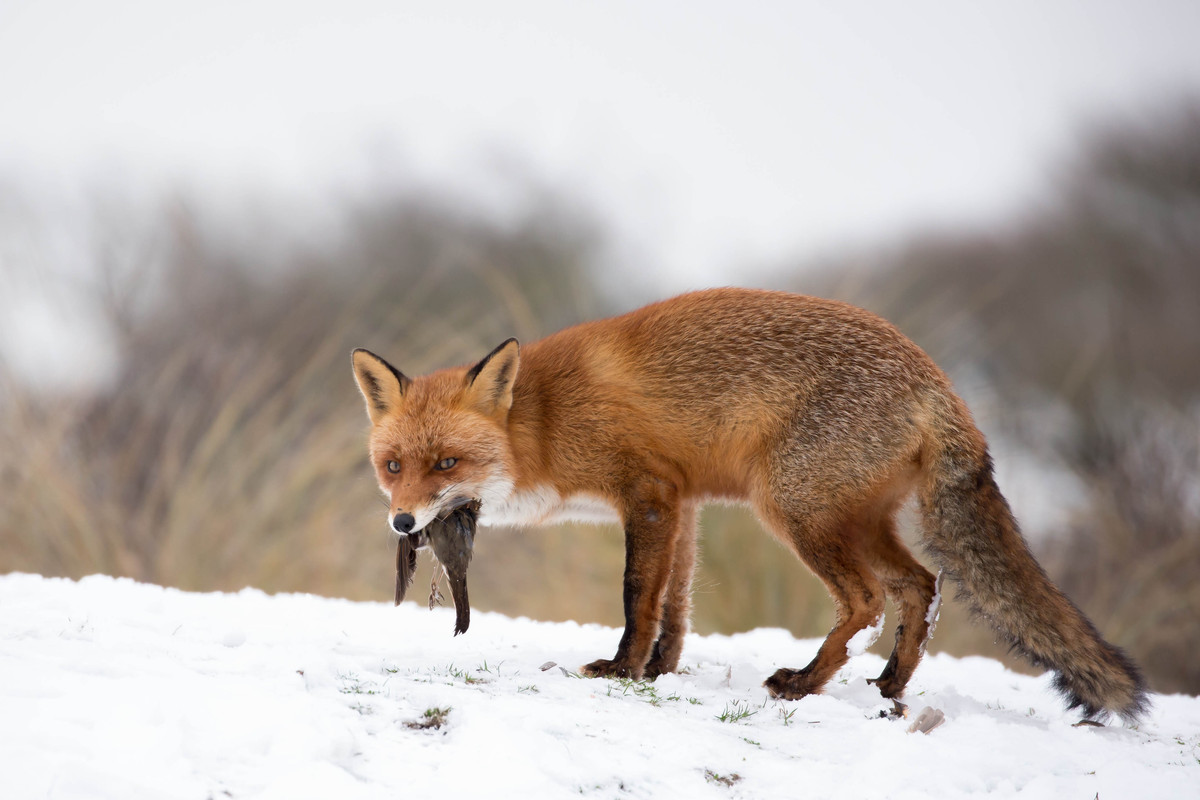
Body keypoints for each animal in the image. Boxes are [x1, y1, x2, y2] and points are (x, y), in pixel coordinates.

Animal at [350, 286, 1147, 719]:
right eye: (392, 466)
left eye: (447, 463)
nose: (402, 521)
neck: (542, 422)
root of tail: (936, 377)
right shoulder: (684, 503)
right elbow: (675, 602)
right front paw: (659, 670)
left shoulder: (648, 495)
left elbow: (637, 593)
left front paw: (621, 670)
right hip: (853, 519)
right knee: (921, 586)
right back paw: (888, 684)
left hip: (796, 511)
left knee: (867, 600)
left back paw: (804, 684)